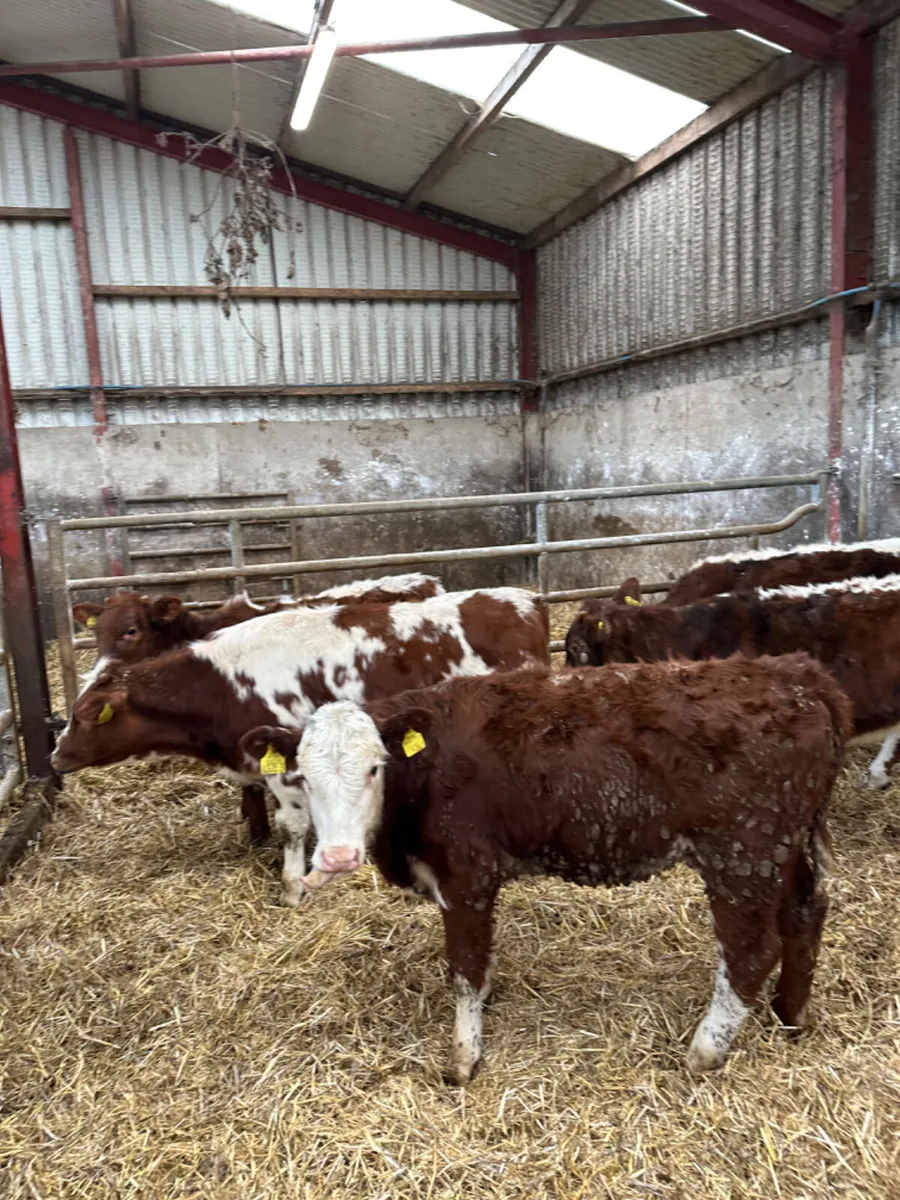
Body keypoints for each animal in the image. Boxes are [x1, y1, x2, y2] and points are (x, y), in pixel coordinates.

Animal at [51, 588, 550, 902]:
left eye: (87, 715)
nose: (56, 755)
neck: (222, 682)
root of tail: (523, 599)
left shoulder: (290, 766)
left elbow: (291, 826)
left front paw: (293, 886)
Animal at [245, 656, 849, 1084]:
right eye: (302, 777)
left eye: (376, 767)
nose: (337, 857)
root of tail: (797, 674)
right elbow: (481, 963)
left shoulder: (467, 876)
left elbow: (464, 968)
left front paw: (463, 1059)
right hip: (787, 848)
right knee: (805, 915)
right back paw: (789, 1015)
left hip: (742, 855)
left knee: (751, 951)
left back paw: (704, 1051)